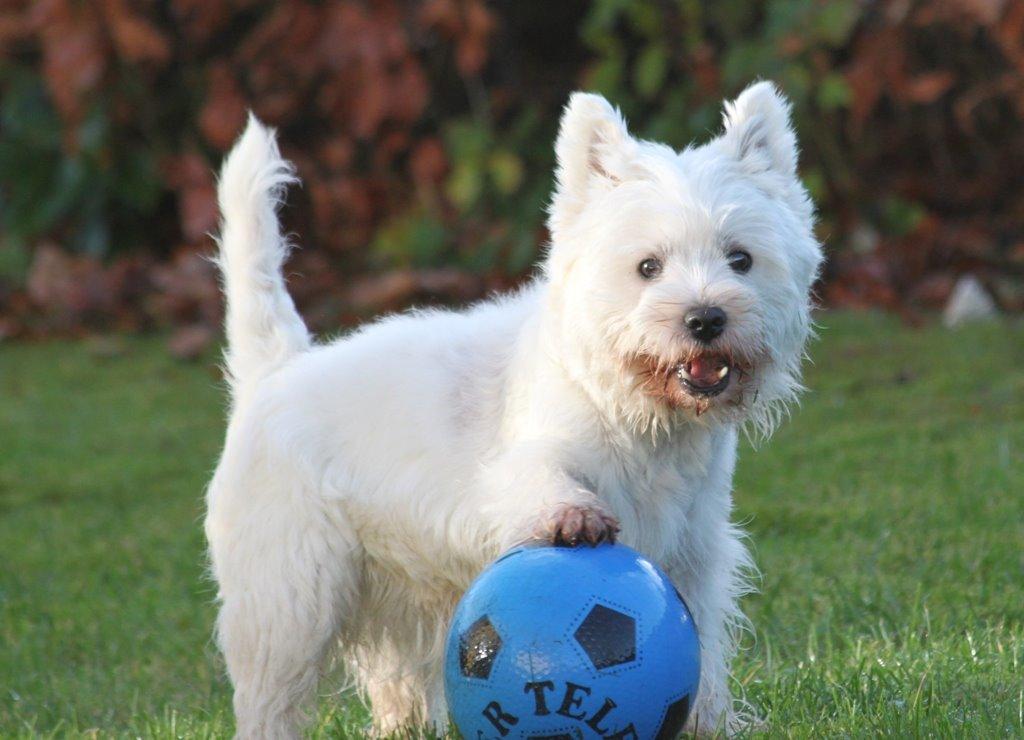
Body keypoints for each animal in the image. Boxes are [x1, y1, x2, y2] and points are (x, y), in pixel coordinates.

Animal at [205, 80, 823, 736]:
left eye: (741, 259)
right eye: (647, 266)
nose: (705, 319)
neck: (642, 416)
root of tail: (275, 373)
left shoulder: (696, 548)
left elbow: (701, 642)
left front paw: (711, 722)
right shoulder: (520, 463)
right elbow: (541, 481)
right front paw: (575, 516)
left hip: (394, 586)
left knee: (394, 677)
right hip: (289, 591)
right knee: (271, 691)